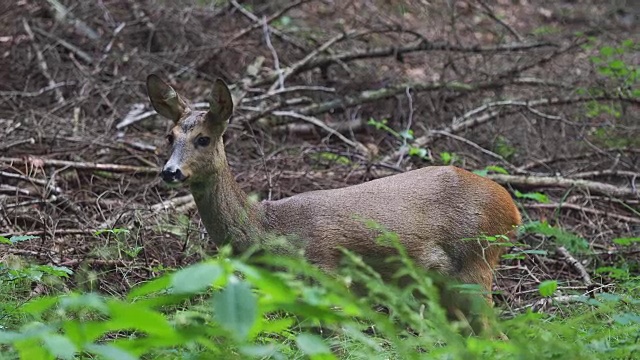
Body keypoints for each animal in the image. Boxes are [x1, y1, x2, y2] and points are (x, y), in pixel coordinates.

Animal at [148, 74, 524, 336]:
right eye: (169, 137)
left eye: (203, 139)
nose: (170, 171)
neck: (273, 229)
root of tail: (512, 209)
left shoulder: (329, 277)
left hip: (475, 264)